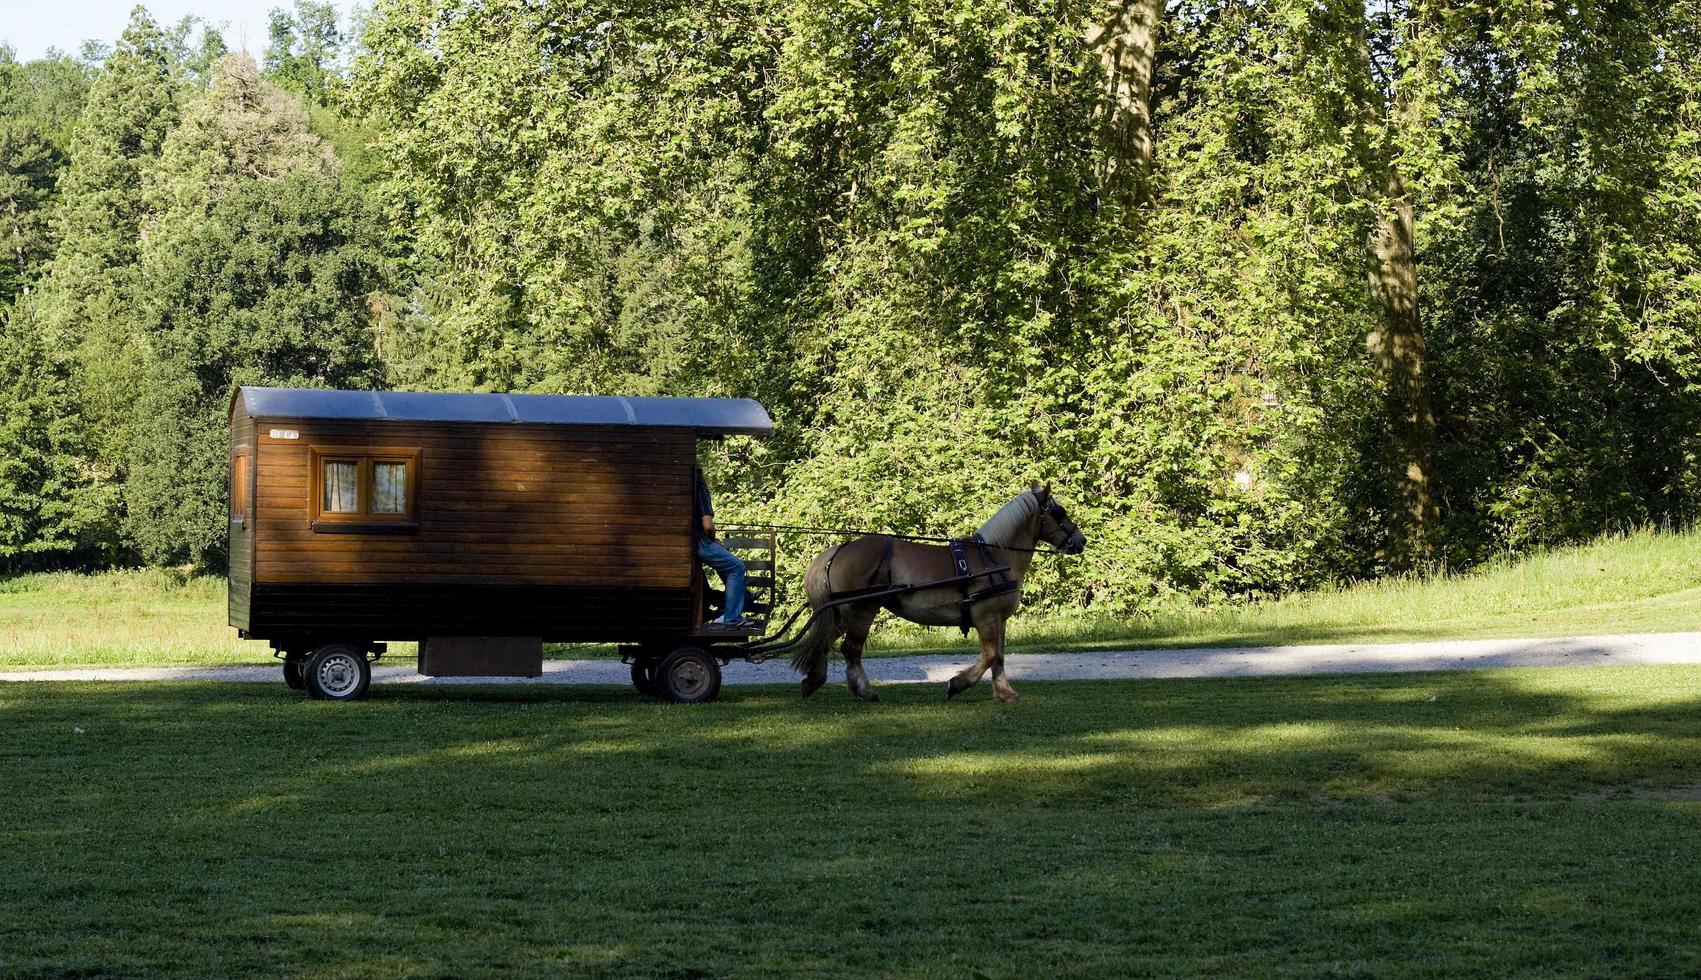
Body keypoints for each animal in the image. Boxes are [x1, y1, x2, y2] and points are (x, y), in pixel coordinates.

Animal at [785, 483, 1081, 700]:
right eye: (1060, 512)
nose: (1081, 540)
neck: (994, 557)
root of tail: (841, 548)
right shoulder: (986, 617)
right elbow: (989, 655)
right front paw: (957, 684)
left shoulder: (999, 619)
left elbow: (999, 656)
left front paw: (1005, 692)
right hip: (861, 610)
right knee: (850, 649)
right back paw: (864, 692)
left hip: (841, 612)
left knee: (825, 641)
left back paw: (814, 681)